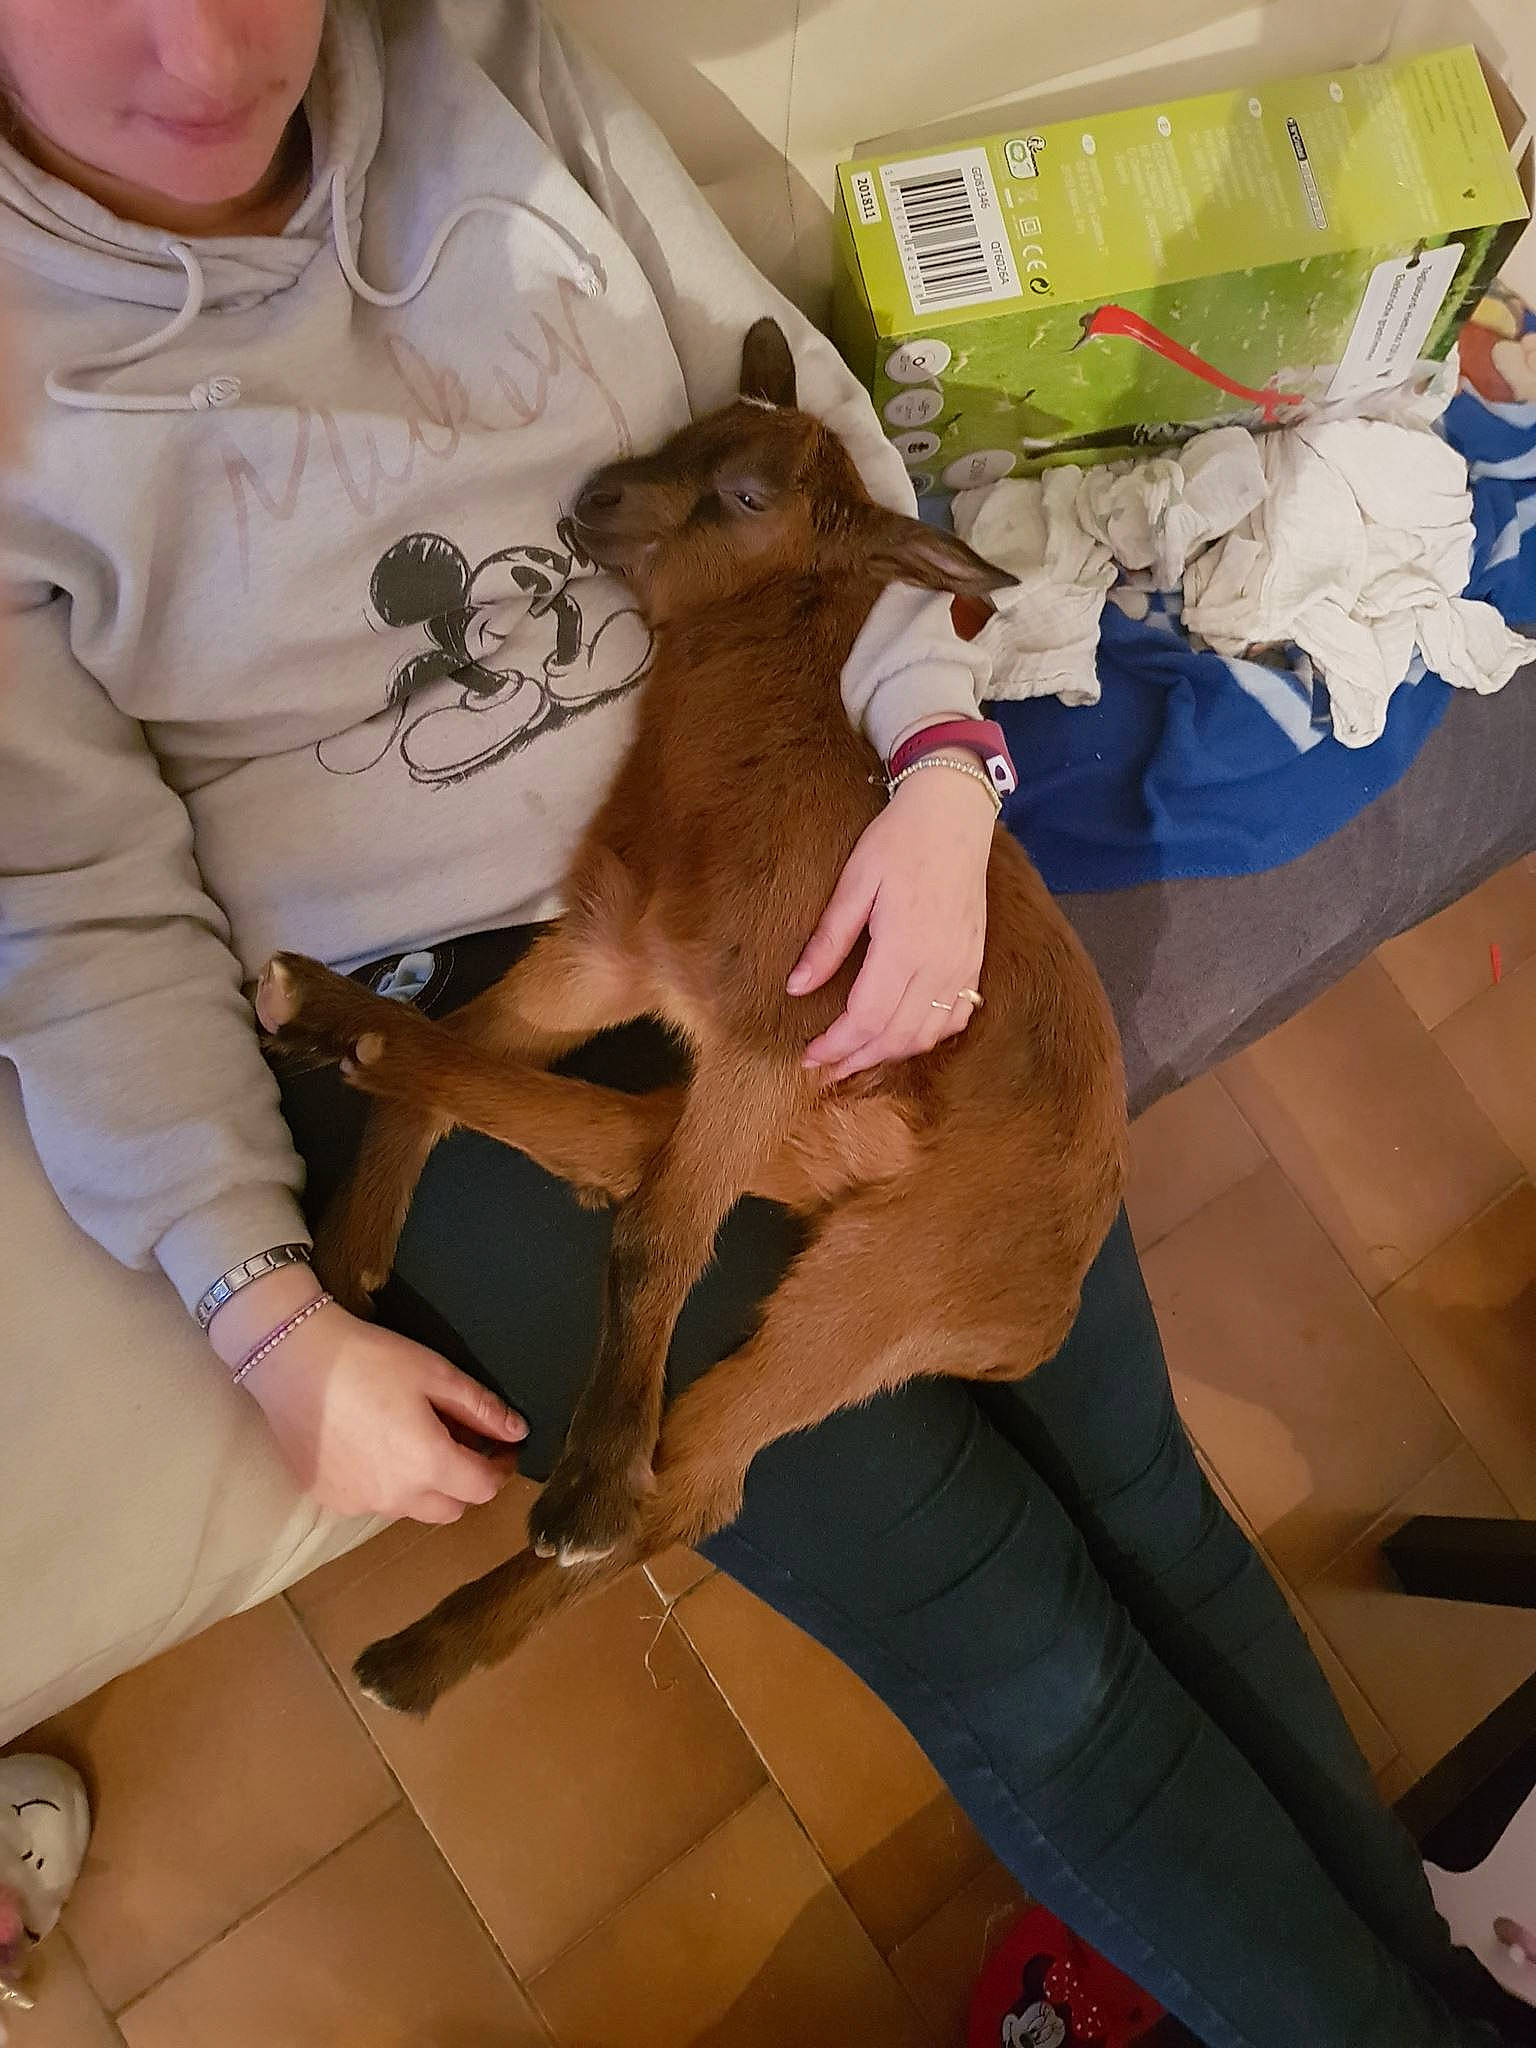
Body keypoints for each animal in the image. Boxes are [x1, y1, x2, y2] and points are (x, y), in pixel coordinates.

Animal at [255, 317, 1127, 1716]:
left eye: (751, 495)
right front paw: (348, 1254)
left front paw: (590, 1479)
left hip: (879, 1278)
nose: (589, 498)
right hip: (802, 1140)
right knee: (603, 1138)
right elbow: (493, 1061)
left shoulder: (774, 1023)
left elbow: (659, 1241)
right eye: (686, 429)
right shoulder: (609, 958)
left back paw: (437, 1642)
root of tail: (1036, 1320)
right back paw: (345, 1025)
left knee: (703, 1472)